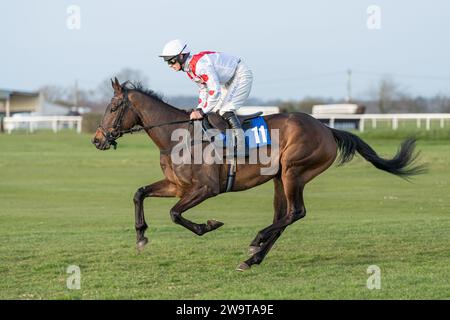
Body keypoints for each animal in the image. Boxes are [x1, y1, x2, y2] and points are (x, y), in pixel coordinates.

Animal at [92, 79, 426, 272]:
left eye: (113, 106)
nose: (97, 139)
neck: (179, 137)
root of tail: (326, 128)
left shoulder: (205, 189)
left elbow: (175, 214)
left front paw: (208, 225)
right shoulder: (177, 185)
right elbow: (139, 192)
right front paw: (141, 236)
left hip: (294, 171)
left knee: (296, 212)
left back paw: (255, 241)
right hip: (280, 178)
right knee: (284, 216)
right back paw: (252, 258)